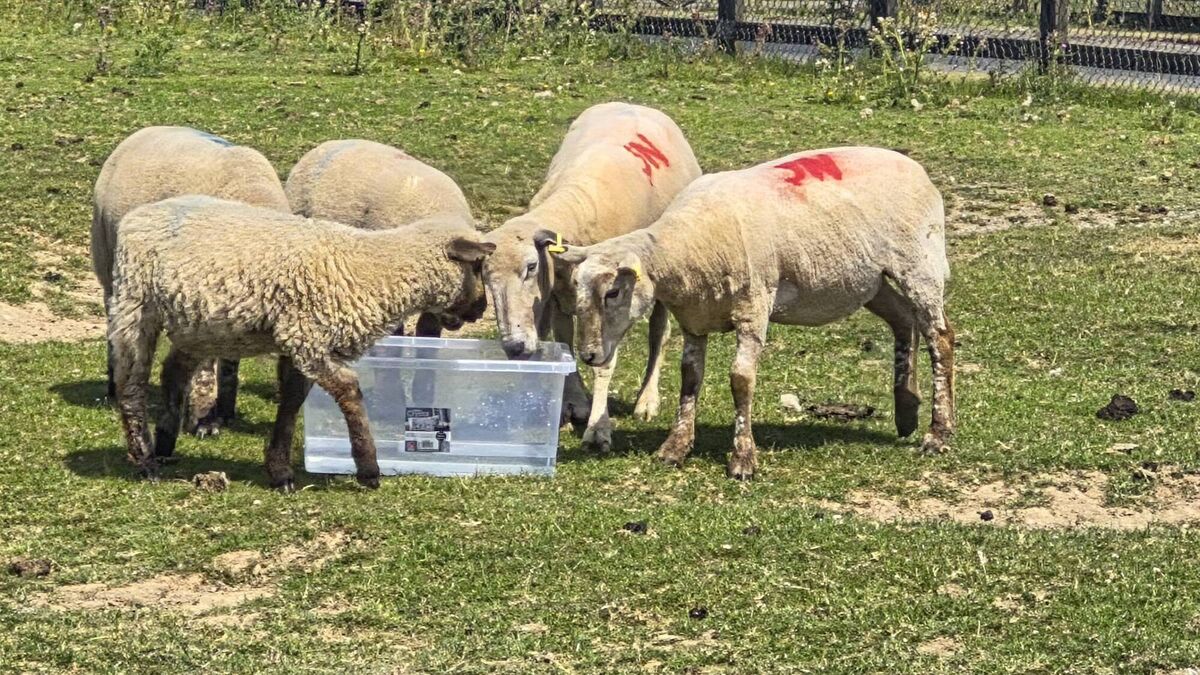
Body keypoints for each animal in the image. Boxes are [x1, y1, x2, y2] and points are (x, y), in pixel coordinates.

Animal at [92, 126, 291, 436]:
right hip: (108, 262)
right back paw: (114, 387)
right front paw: (203, 420)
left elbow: (230, 361)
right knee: (115, 325)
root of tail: (144, 131)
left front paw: (223, 412)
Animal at [108, 196, 495, 490]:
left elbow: (292, 401)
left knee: (173, 372)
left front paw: (279, 471)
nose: (481, 309)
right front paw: (369, 469)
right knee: (131, 384)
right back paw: (145, 461)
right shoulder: (308, 337)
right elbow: (349, 392)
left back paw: (164, 443)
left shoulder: (303, 341)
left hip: (201, 325)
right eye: (476, 266)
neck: (373, 269)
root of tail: (138, 216)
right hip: (135, 305)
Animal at [483, 102, 702, 451]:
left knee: (659, 332)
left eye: (530, 267)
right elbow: (565, 344)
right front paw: (572, 403)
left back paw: (647, 399)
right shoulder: (556, 297)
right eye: (486, 278)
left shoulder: (614, 305)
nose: (514, 348)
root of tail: (636, 104)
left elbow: (605, 363)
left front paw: (598, 429)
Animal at [550, 147, 954, 479]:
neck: (687, 246)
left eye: (613, 291)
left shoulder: (753, 307)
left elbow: (741, 380)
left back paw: (938, 433)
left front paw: (743, 458)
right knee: (903, 318)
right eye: (578, 288)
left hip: (919, 262)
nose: (589, 354)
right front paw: (675, 447)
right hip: (867, 279)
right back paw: (907, 410)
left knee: (940, 338)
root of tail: (916, 169)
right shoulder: (695, 317)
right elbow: (689, 378)